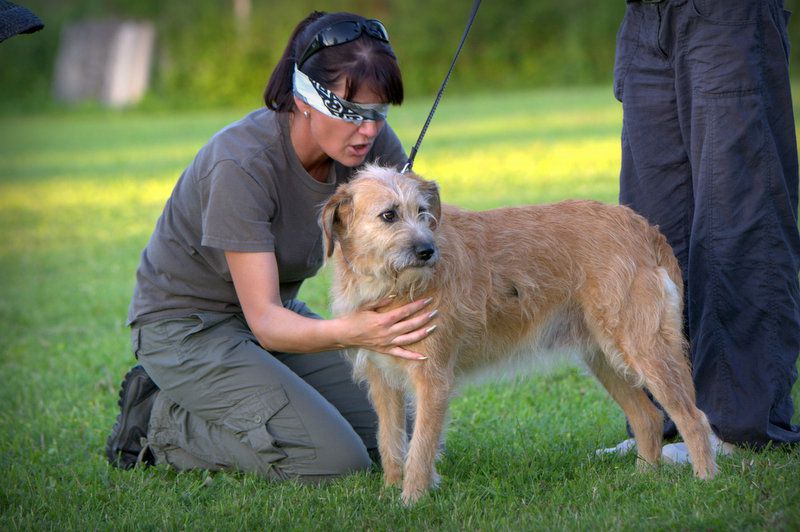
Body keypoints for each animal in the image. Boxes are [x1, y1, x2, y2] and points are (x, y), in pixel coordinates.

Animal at [320, 165, 720, 502]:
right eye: (388, 215)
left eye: (423, 213)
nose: (428, 251)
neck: (389, 286)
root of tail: (644, 227)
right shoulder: (382, 381)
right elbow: (390, 443)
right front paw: (390, 494)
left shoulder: (432, 380)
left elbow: (419, 449)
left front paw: (411, 502)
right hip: (604, 356)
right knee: (648, 418)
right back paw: (643, 479)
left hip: (644, 348)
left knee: (693, 418)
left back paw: (705, 483)